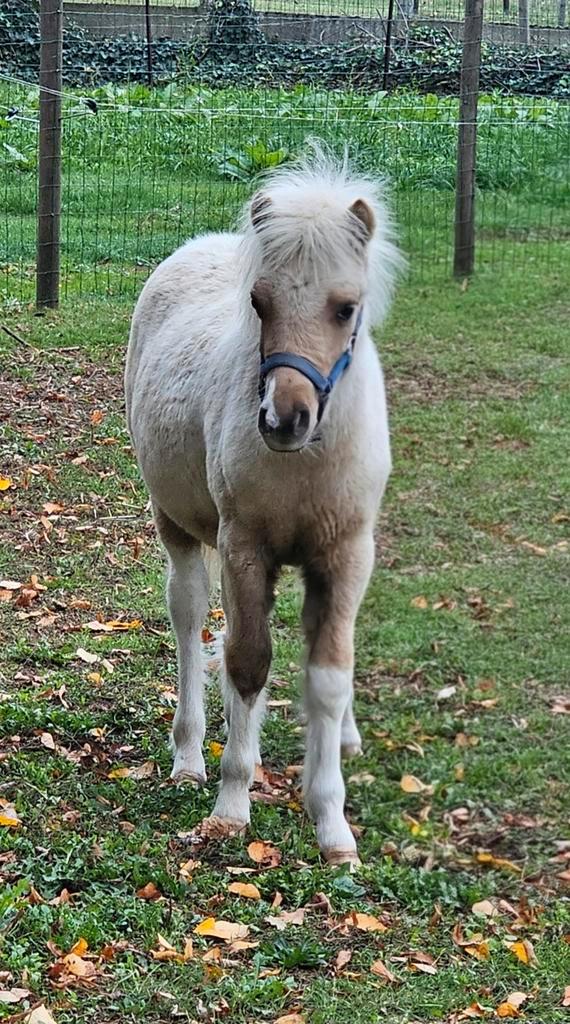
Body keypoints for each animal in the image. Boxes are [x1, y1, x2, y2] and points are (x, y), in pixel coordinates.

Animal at [125, 149, 402, 865]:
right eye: (258, 301)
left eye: (346, 307)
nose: (283, 418)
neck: (305, 464)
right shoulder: (245, 547)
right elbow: (247, 663)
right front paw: (230, 805)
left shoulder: (345, 554)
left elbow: (328, 675)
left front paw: (333, 827)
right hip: (178, 524)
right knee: (191, 617)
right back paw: (188, 756)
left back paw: (347, 736)